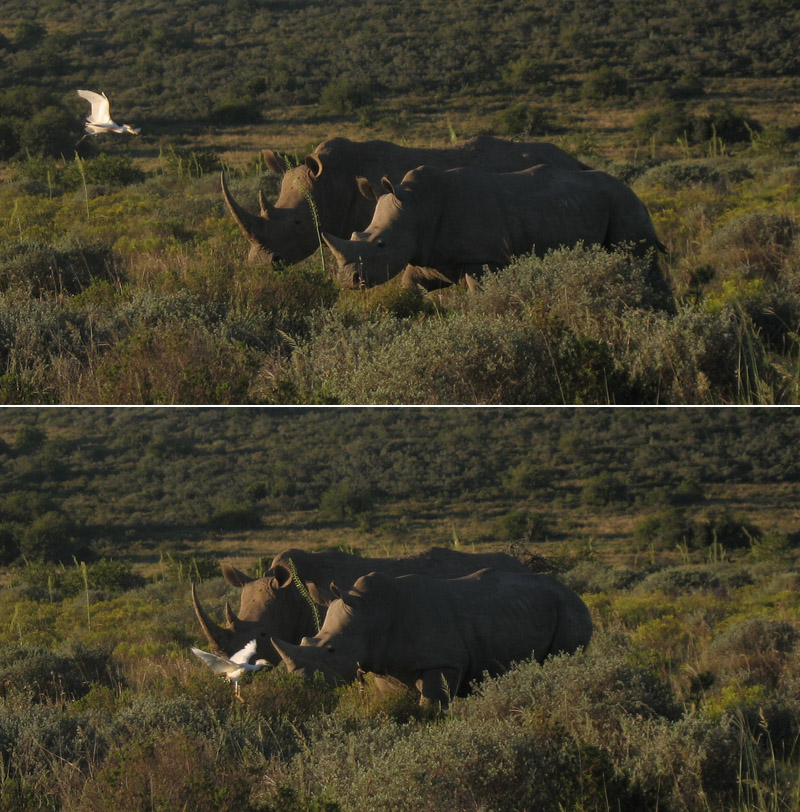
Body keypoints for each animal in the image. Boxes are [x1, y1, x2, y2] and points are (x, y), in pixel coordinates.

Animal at [272, 568, 592, 707]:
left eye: (331, 650)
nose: (300, 683)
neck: (370, 613)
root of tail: (574, 592)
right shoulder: (385, 666)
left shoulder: (444, 661)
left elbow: (432, 705)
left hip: (570, 609)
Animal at [322, 163, 672, 302]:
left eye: (381, 244)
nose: (348, 281)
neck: (417, 206)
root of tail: (634, 190)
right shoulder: (429, 258)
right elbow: (409, 291)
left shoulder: (483, 259)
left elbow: (481, 296)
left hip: (624, 203)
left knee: (639, 260)